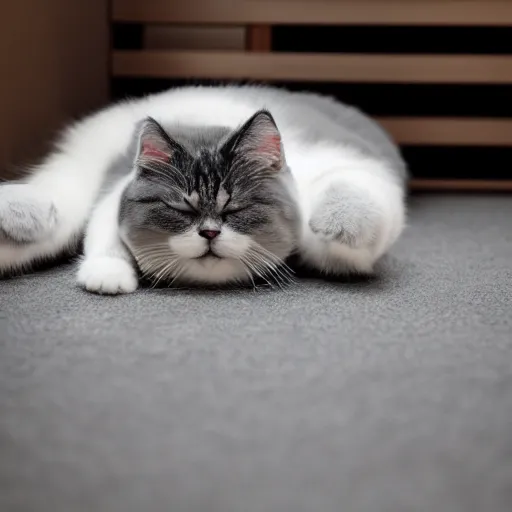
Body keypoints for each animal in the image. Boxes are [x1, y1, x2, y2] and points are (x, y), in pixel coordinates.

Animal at [0, 86, 408, 294]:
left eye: (236, 210)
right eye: (181, 211)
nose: (210, 233)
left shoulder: (346, 168)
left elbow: (351, 208)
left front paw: (338, 224)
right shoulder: (115, 192)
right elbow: (105, 235)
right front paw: (108, 275)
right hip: (76, 177)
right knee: (49, 208)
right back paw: (14, 215)